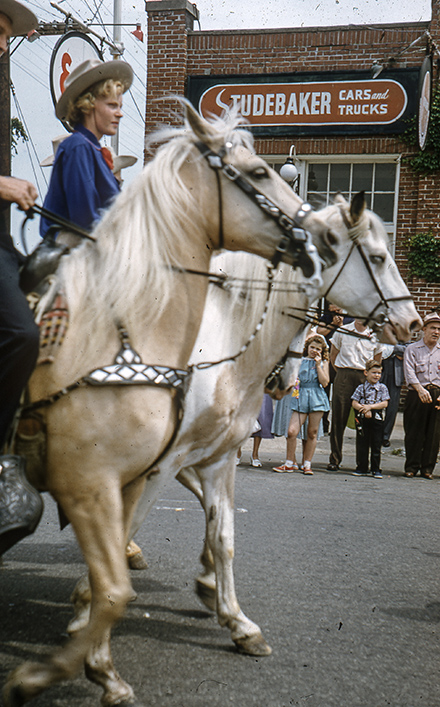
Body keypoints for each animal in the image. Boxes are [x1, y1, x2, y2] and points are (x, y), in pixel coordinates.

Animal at [3, 103, 348, 707]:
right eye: (258, 172)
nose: (324, 236)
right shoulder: (90, 481)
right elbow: (114, 588)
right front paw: (47, 672)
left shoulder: (171, 463)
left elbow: (155, 561)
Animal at [68, 194, 420, 668]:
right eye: (379, 257)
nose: (413, 323)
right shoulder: (164, 458)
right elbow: (137, 516)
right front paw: (89, 605)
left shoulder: (208, 450)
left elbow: (219, 525)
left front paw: (219, 597)